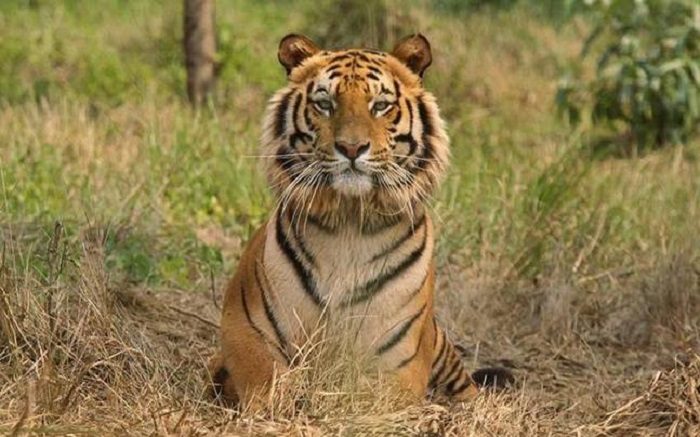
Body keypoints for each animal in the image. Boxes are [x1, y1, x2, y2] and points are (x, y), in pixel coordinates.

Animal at [209, 33, 510, 410]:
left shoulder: (398, 359)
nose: (351, 148)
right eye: (325, 104)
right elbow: (264, 380)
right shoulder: (244, 327)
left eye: (380, 105)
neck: (348, 224)